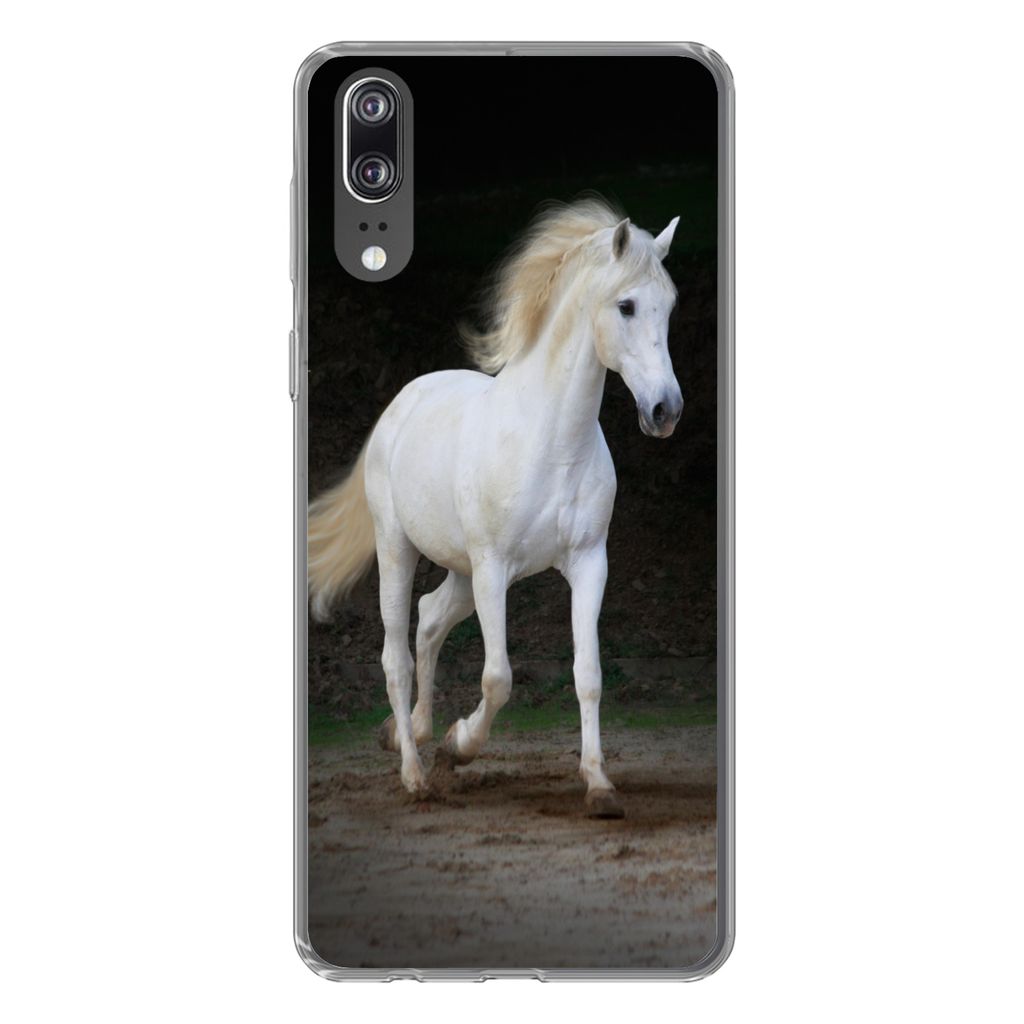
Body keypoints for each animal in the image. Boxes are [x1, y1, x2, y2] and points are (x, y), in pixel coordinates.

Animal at [308, 198, 682, 818]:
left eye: (670, 305)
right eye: (626, 306)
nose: (665, 411)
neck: (551, 442)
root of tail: (403, 402)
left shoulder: (589, 564)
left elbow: (588, 674)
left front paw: (599, 786)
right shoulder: (493, 570)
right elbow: (498, 677)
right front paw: (460, 746)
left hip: (459, 573)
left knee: (431, 619)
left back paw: (413, 731)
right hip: (399, 550)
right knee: (396, 655)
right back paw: (415, 771)